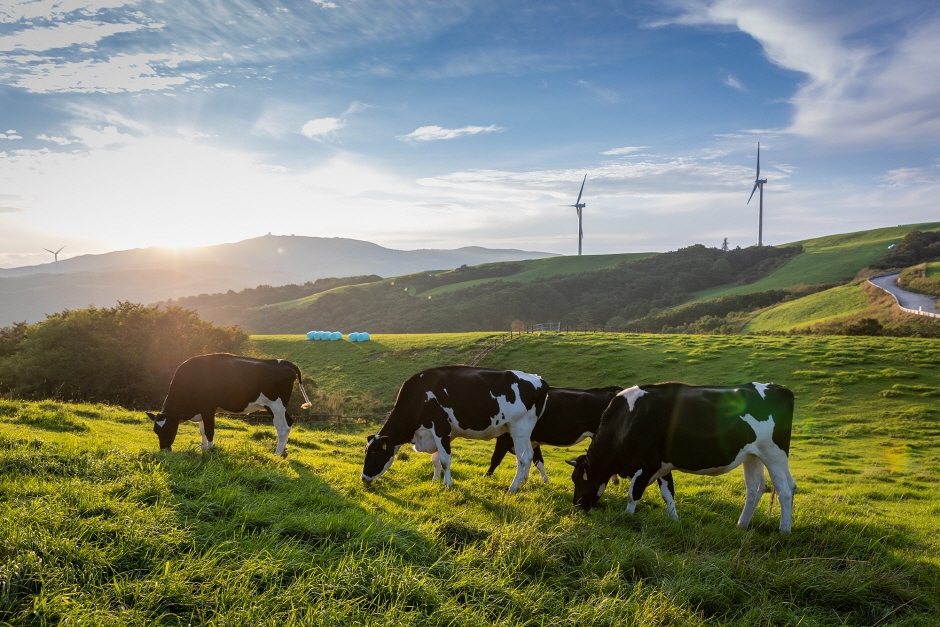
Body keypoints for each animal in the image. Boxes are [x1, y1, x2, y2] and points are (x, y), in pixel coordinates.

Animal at [144, 354, 312, 456]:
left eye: (169, 429)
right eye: (155, 431)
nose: (164, 450)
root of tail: (284, 362)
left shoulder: (208, 408)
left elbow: (209, 430)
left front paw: (210, 451)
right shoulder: (202, 411)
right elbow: (202, 430)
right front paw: (203, 449)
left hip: (275, 405)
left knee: (282, 427)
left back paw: (277, 454)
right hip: (278, 406)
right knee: (289, 422)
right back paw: (284, 453)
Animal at [360, 366, 552, 494]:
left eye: (374, 453)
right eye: (366, 452)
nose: (363, 478)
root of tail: (540, 380)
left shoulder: (440, 429)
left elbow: (445, 460)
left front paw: (448, 484)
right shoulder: (438, 434)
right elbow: (435, 459)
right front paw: (434, 481)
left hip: (519, 427)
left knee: (523, 458)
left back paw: (512, 488)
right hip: (523, 432)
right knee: (530, 456)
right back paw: (523, 484)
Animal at [484, 386, 624, 484]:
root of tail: (606, 390)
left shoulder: (504, 438)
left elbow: (495, 459)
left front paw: (487, 477)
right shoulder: (532, 441)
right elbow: (537, 461)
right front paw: (539, 481)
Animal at [568, 382, 796, 536]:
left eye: (579, 480)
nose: (577, 505)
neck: (625, 421)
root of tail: (778, 388)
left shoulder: (646, 464)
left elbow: (633, 494)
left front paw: (626, 519)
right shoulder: (662, 465)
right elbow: (668, 494)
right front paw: (675, 521)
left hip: (773, 452)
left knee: (784, 490)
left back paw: (784, 531)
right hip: (753, 455)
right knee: (756, 489)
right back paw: (742, 526)